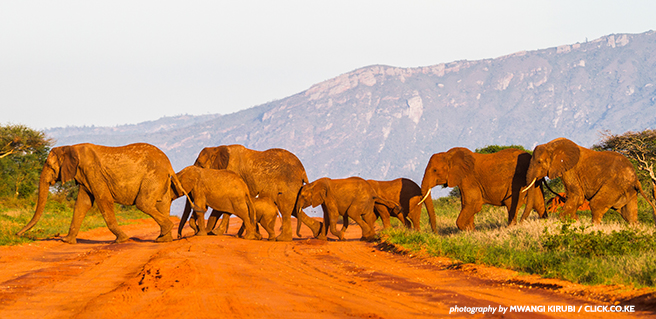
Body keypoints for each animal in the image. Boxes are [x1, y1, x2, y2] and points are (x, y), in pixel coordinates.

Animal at [16, 144, 186, 244]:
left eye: (51, 166)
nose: (18, 234)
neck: (71, 147)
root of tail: (169, 164)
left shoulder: (93, 172)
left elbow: (103, 200)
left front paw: (122, 240)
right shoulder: (85, 176)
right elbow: (82, 204)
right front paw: (67, 241)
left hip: (153, 176)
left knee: (143, 203)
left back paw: (163, 235)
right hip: (160, 179)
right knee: (162, 204)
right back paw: (163, 240)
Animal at [192, 146, 320, 242]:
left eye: (201, 165)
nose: (196, 228)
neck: (217, 148)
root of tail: (303, 171)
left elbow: (222, 207)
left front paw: (212, 232)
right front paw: (209, 232)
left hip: (289, 184)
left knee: (285, 208)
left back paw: (282, 239)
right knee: (294, 209)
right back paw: (318, 231)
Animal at [524, 138, 656, 225]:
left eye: (539, 162)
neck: (552, 146)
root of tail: (636, 178)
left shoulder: (570, 171)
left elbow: (577, 196)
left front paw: (568, 221)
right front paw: (575, 221)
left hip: (616, 184)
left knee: (596, 204)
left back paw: (594, 227)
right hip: (628, 188)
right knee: (628, 213)